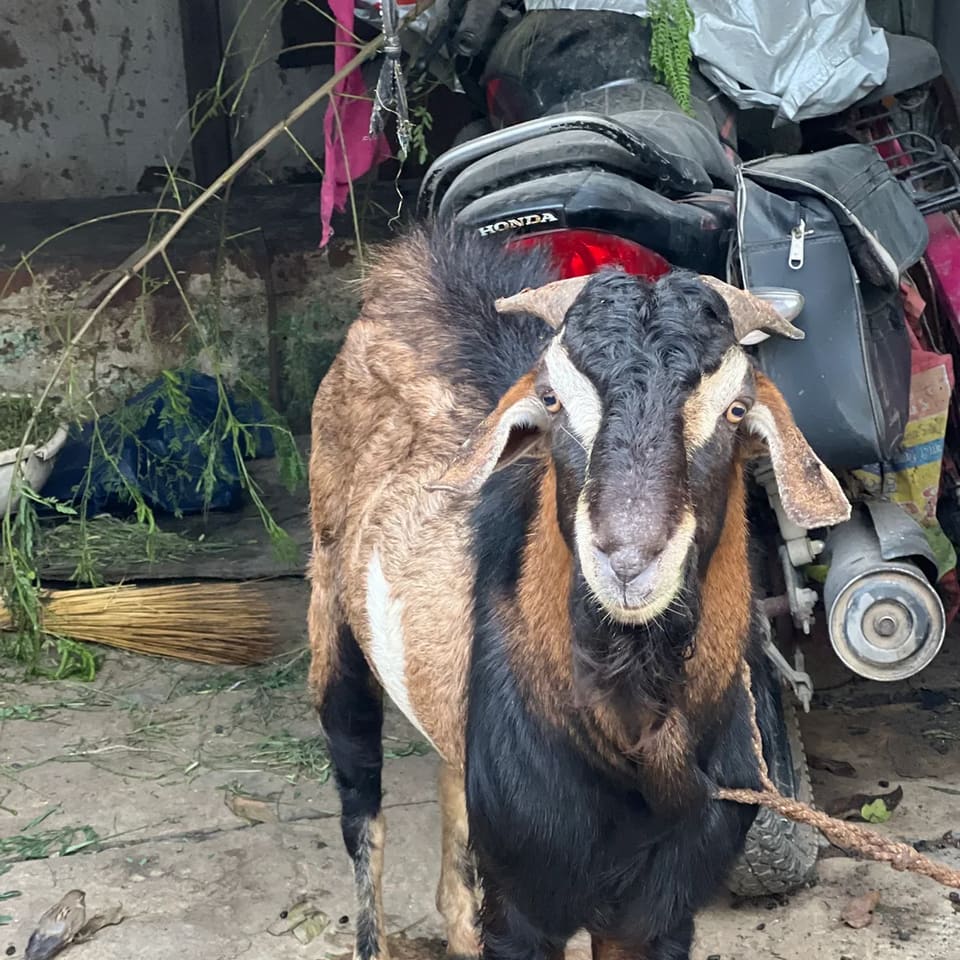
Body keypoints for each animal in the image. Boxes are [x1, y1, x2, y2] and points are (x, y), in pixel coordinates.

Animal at [307, 223, 849, 960]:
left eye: (736, 409)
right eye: (554, 400)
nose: (627, 559)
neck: (632, 754)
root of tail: (406, 265)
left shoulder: (662, 910)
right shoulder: (523, 907)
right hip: (329, 611)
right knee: (361, 802)